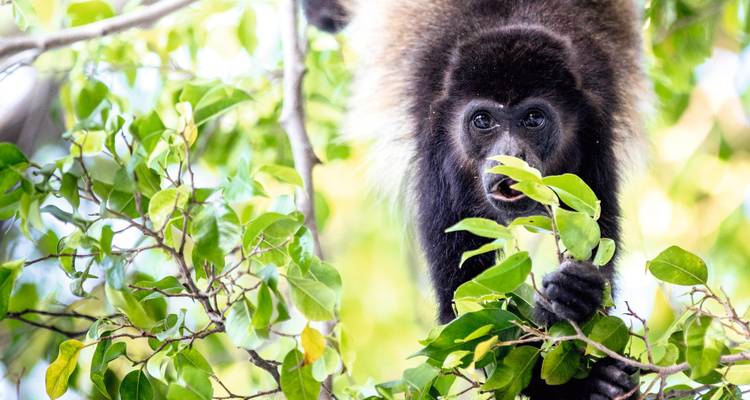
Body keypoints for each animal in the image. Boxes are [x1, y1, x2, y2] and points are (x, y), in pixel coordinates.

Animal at [302, 1, 646, 399]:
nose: (510, 155)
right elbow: (465, 309)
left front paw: (576, 294)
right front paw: (583, 386)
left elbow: (598, 246)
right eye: (483, 121)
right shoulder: (437, 155)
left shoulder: (592, 137)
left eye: (533, 118)